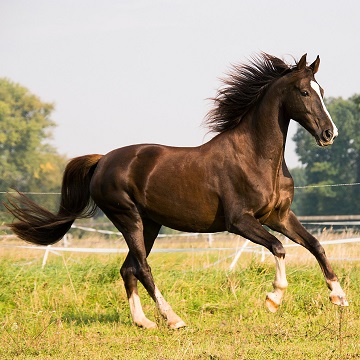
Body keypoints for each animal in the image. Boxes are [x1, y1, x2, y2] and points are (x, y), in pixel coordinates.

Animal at [4, 52, 348, 330]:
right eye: (304, 91)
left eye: (322, 91)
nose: (329, 134)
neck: (256, 157)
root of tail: (102, 161)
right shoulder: (240, 221)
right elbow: (278, 248)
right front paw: (273, 298)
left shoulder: (279, 216)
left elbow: (315, 245)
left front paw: (339, 296)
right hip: (128, 218)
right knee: (142, 267)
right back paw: (173, 319)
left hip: (150, 224)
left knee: (128, 268)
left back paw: (143, 322)